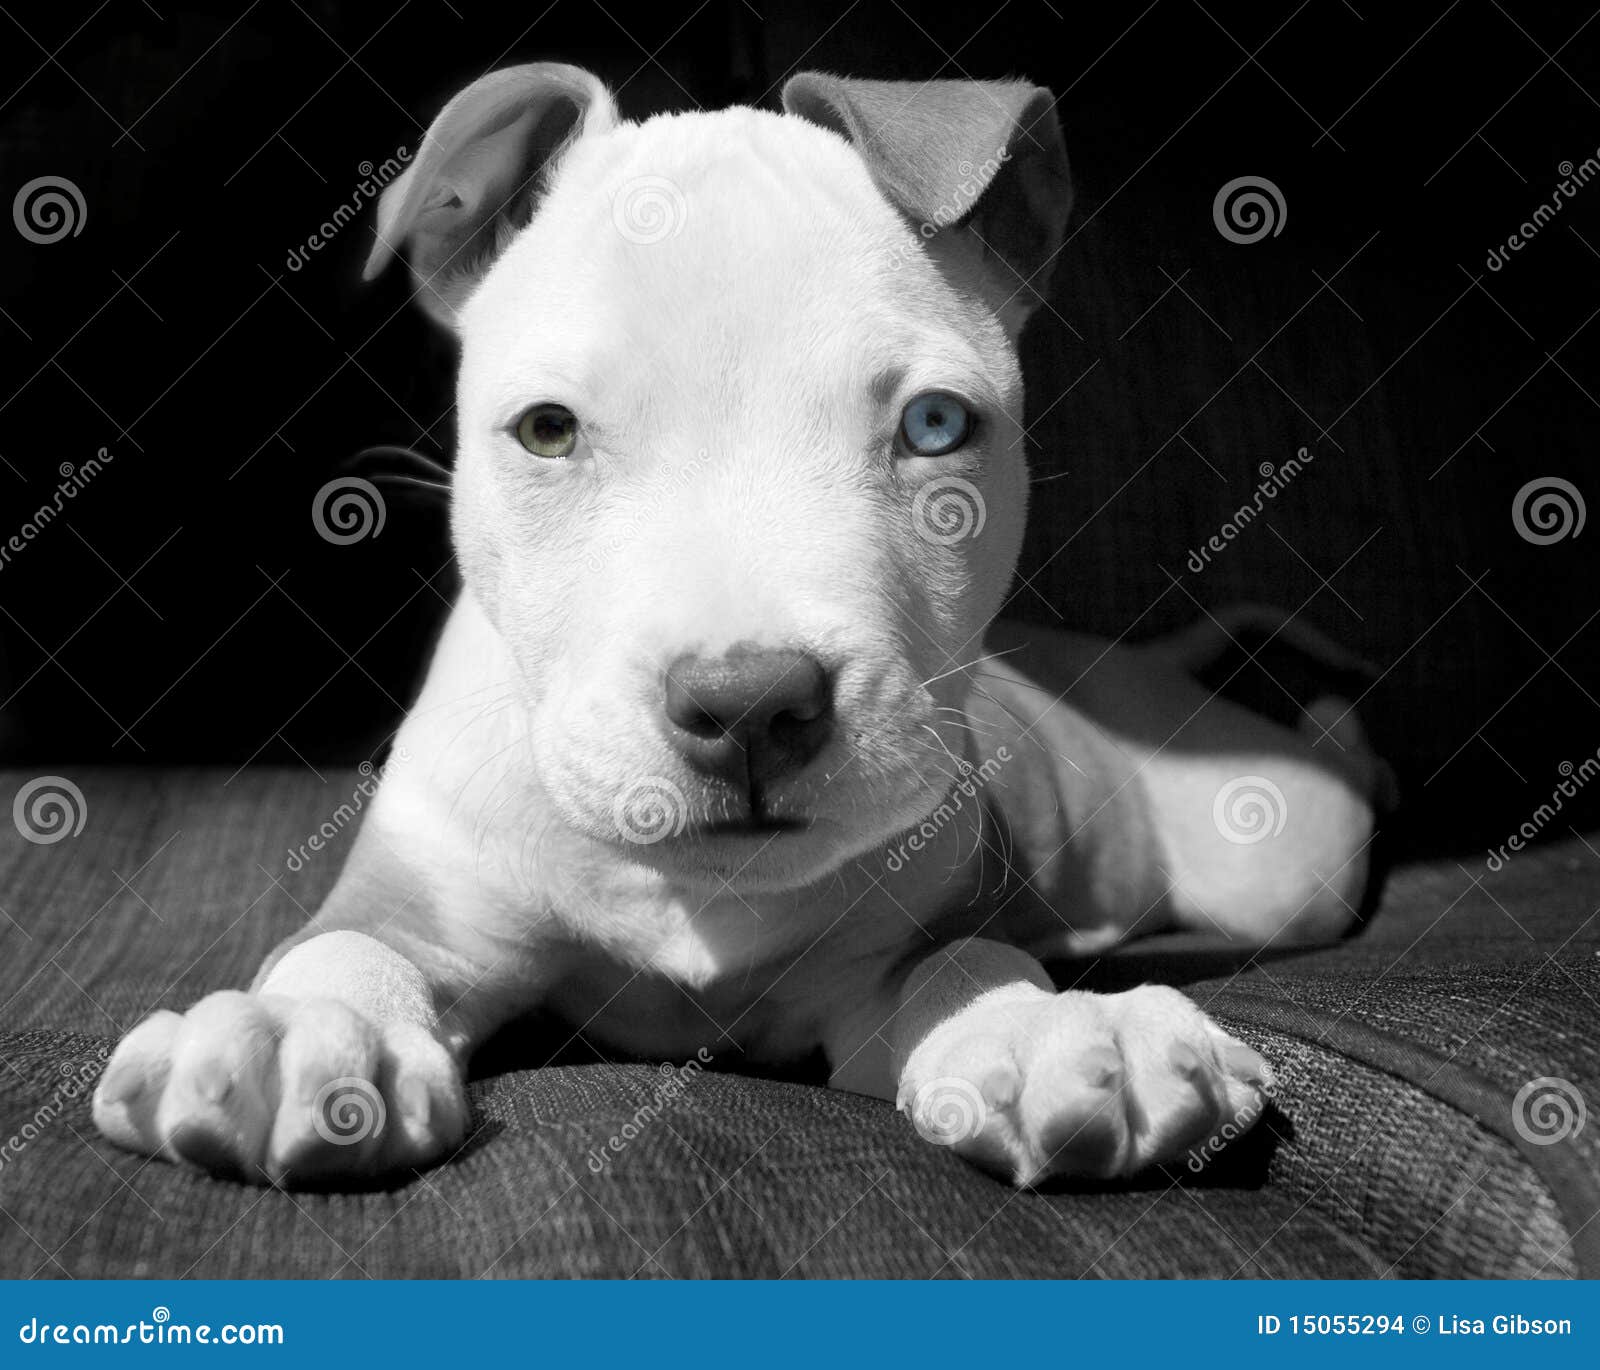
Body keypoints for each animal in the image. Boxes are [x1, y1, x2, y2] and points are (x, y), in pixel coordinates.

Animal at [93, 66, 1388, 1190]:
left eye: (934, 424)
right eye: (548, 429)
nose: (750, 702)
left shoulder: (893, 951)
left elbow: (966, 958)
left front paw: (1048, 1034)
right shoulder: (424, 896)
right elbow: (349, 946)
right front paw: (299, 1028)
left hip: (1282, 863)